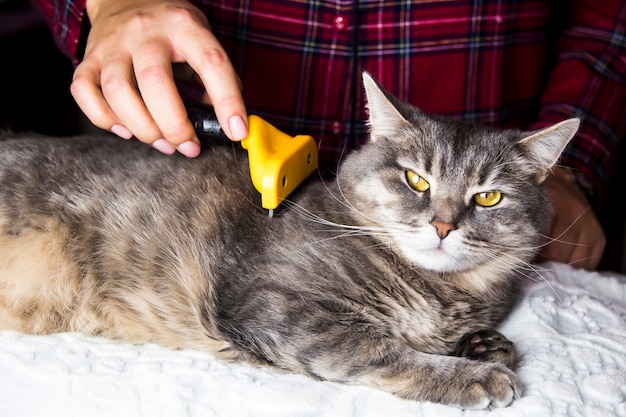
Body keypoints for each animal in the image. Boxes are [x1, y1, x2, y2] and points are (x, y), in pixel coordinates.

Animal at [0, 72, 576, 406]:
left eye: (488, 198)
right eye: (417, 180)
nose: (442, 225)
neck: (442, 294)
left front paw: (485, 346)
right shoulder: (272, 306)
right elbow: (376, 348)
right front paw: (471, 375)